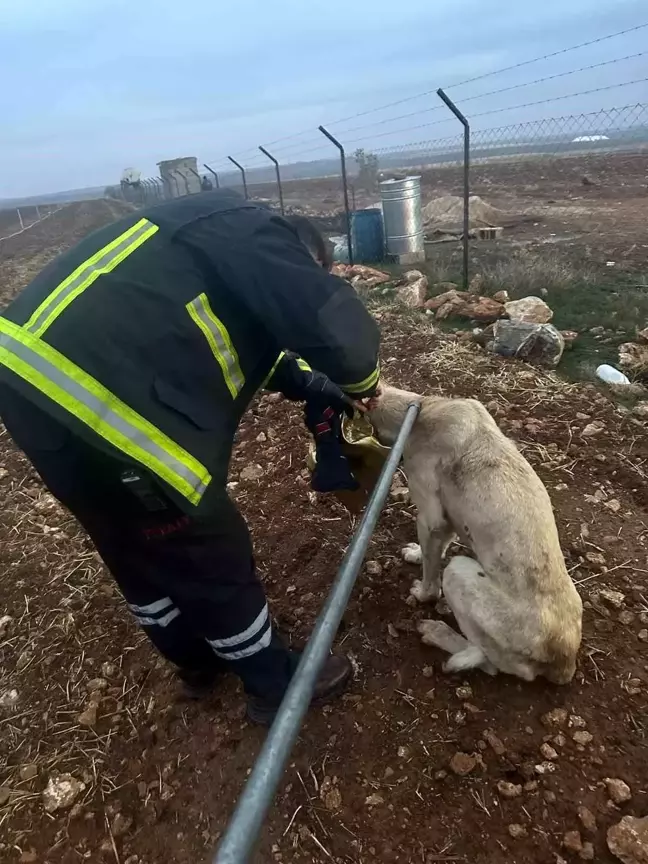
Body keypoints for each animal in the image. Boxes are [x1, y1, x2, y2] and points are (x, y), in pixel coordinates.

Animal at [368, 384, 584, 680]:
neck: (421, 411)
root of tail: (565, 661)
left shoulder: (430, 518)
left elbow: (430, 581)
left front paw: (421, 593)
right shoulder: (448, 520)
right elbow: (433, 551)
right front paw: (415, 553)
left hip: (458, 572)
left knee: (488, 663)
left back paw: (437, 633)